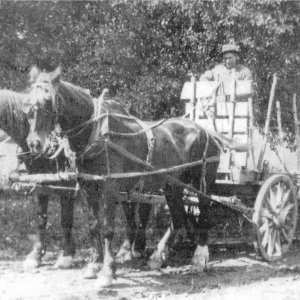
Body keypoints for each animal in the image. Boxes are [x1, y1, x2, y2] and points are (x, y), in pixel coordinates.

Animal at [0, 89, 76, 270]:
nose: (34, 144)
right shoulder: (40, 182)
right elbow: (41, 218)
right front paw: (36, 254)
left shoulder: (68, 184)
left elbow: (66, 220)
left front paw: (66, 255)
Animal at [24, 67, 220, 288]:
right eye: (28, 101)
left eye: (49, 99)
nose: (34, 143)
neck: (96, 135)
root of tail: (206, 131)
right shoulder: (88, 187)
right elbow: (94, 226)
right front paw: (94, 265)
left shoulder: (109, 188)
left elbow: (108, 229)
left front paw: (107, 271)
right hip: (173, 185)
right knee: (178, 218)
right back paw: (157, 256)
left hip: (202, 183)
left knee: (204, 214)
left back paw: (200, 258)